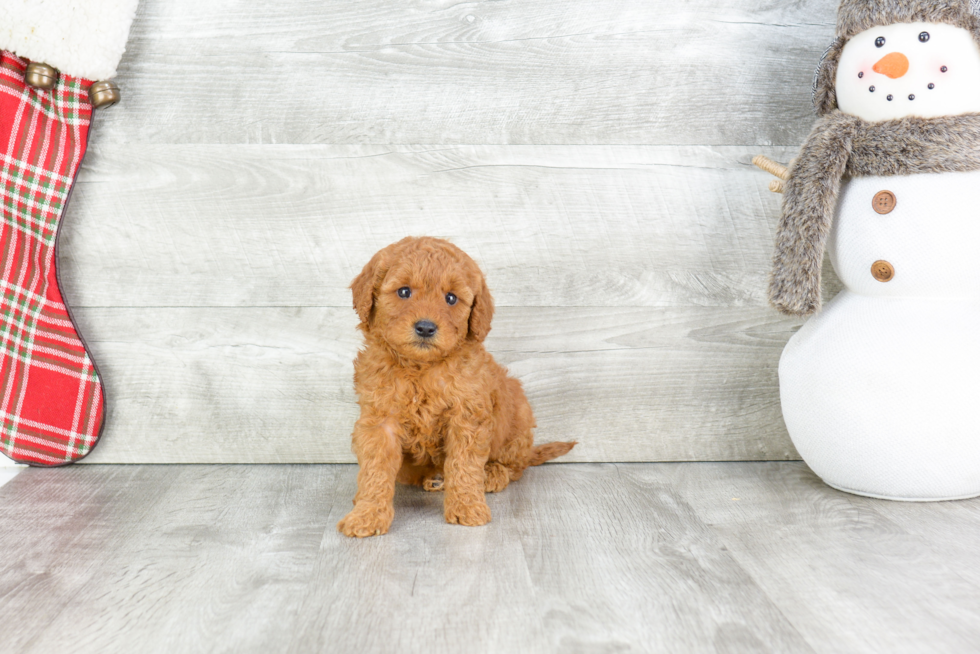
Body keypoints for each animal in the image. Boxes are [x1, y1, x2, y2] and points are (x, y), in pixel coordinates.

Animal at [338, 236, 576, 540]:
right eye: (404, 292)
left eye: (451, 298)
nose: (426, 328)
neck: (421, 368)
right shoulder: (380, 420)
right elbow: (375, 469)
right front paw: (366, 514)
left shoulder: (467, 416)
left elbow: (464, 464)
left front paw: (467, 507)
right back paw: (433, 479)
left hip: (518, 415)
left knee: (515, 466)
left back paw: (492, 474)